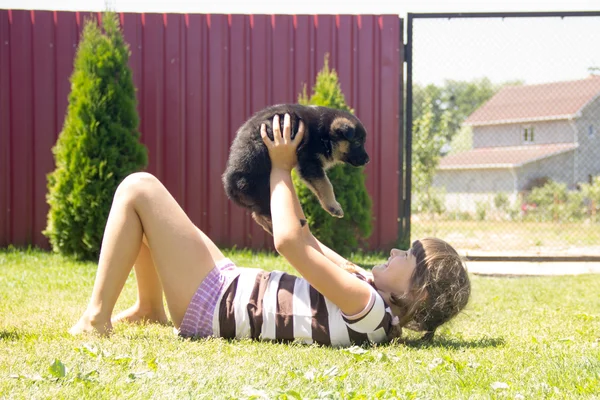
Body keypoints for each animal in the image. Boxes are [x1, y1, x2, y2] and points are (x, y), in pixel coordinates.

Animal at [223, 103, 368, 234]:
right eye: (357, 143)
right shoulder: (310, 162)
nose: (368, 160)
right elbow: (326, 185)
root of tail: (229, 185)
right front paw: (334, 206)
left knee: (258, 215)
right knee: (265, 213)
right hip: (263, 189)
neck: (325, 134)